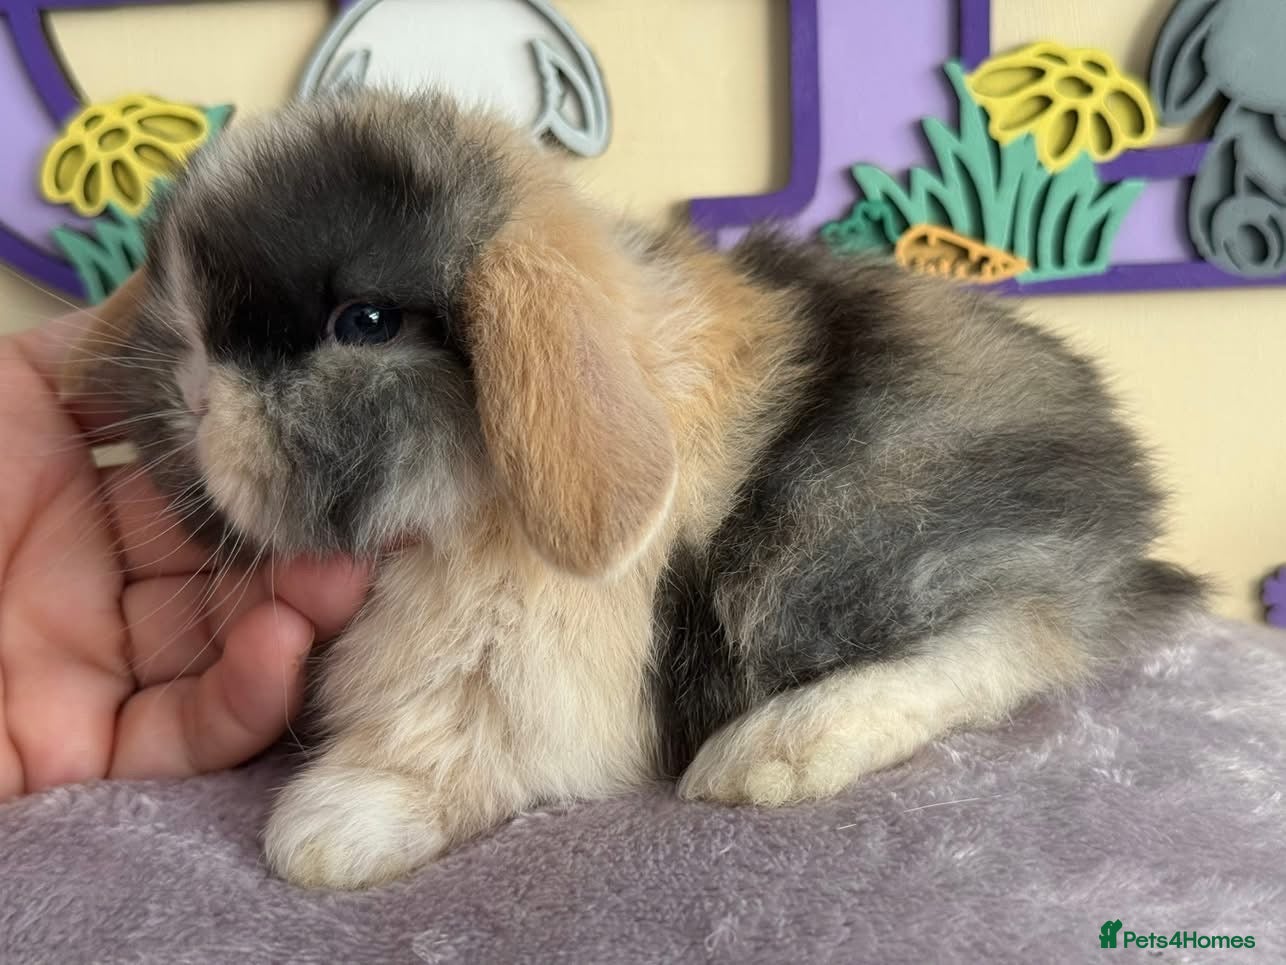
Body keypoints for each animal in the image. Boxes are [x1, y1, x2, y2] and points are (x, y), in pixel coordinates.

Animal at [85, 88, 1203, 890]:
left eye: (363, 321)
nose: (187, 391)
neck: (465, 510)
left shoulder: (522, 668)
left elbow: (448, 744)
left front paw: (326, 830)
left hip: (834, 554)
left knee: (1012, 639)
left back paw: (765, 756)